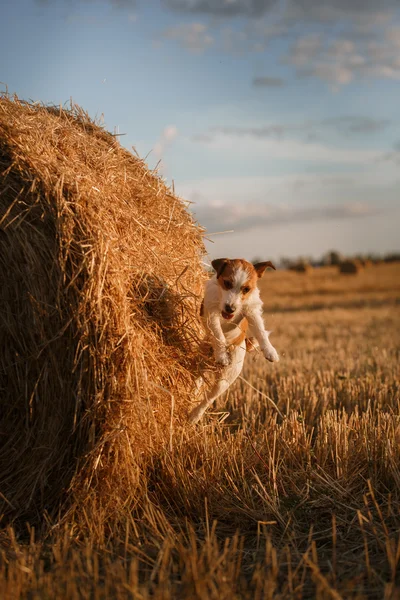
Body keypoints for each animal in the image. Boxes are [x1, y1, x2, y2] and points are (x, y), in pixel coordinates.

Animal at [189, 258, 280, 422]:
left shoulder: (251, 311)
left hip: (225, 380)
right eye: (227, 283)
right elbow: (218, 333)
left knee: (208, 399)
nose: (230, 308)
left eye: (246, 289)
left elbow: (260, 330)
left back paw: (194, 416)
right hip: (200, 364)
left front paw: (270, 351)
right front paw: (221, 354)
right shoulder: (211, 312)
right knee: (197, 382)